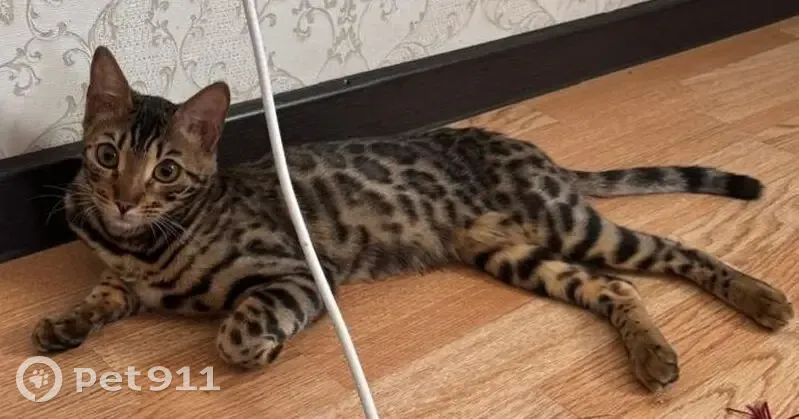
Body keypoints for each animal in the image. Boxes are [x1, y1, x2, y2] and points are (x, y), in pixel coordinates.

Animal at [32, 46, 794, 393]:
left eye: (165, 171)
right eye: (106, 155)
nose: (122, 198)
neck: (140, 243)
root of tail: (534, 151)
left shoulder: (298, 271)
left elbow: (236, 334)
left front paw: (261, 346)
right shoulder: (122, 276)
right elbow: (104, 296)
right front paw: (65, 322)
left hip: (564, 224)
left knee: (672, 249)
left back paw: (759, 297)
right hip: (513, 253)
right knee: (616, 286)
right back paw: (651, 351)